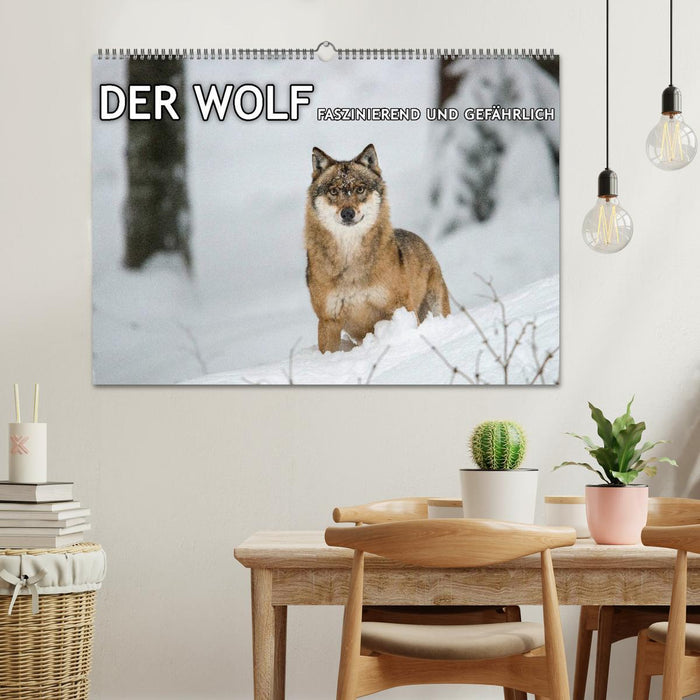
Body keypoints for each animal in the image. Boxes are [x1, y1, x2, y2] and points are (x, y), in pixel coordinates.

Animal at [304, 144, 450, 353]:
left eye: (359, 189)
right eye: (333, 191)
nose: (347, 213)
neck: (351, 262)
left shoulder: (398, 307)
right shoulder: (328, 321)